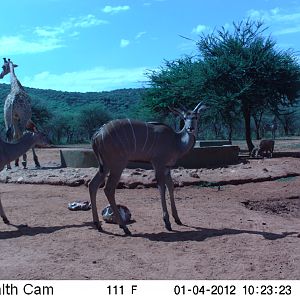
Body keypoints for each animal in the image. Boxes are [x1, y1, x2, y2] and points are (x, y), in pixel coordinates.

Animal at [88, 102, 206, 236]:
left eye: (195, 117)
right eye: (185, 118)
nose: (190, 128)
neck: (176, 141)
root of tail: (97, 134)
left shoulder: (167, 167)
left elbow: (171, 186)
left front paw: (178, 219)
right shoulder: (158, 164)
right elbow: (162, 187)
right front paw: (167, 223)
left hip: (105, 166)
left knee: (93, 185)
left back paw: (98, 225)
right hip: (118, 164)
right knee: (108, 189)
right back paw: (124, 228)